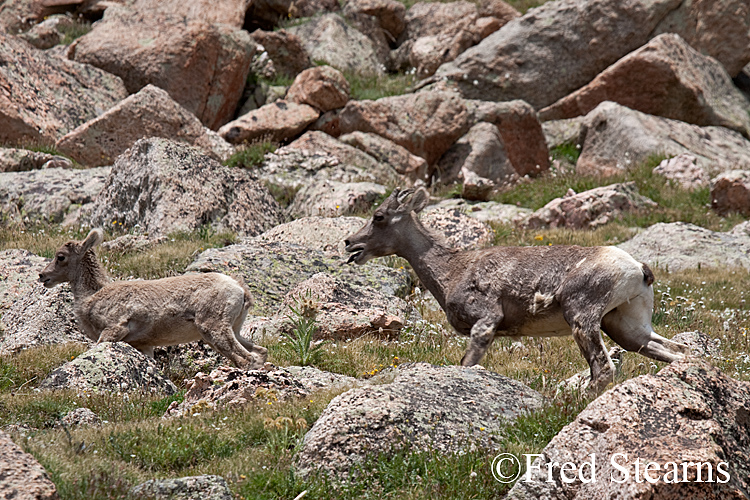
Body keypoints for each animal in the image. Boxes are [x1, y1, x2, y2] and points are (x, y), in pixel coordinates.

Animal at [38, 229, 268, 370]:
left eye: (60, 257)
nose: (42, 276)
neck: (93, 295)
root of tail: (240, 290)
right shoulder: (144, 346)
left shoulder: (113, 329)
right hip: (232, 330)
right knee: (260, 351)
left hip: (215, 329)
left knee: (248, 358)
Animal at [344, 188, 692, 390]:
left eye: (379, 216)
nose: (349, 243)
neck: (452, 270)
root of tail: (638, 269)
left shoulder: (485, 323)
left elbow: (467, 364)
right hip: (625, 326)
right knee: (674, 351)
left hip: (583, 318)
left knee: (603, 369)